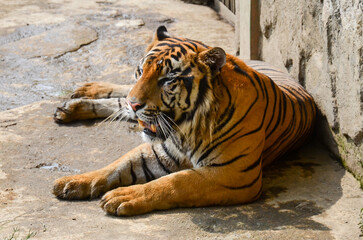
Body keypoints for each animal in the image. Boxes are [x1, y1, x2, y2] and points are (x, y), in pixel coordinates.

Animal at [52, 25, 318, 216]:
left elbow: (175, 183)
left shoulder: (234, 175)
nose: (136, 104)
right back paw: (80, 97)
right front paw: (71, 182)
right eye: (141, 71)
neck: (186, 128)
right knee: (122, 94)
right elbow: (115, 166)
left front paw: (124, 196)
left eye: (168, 80)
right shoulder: (162, 151)